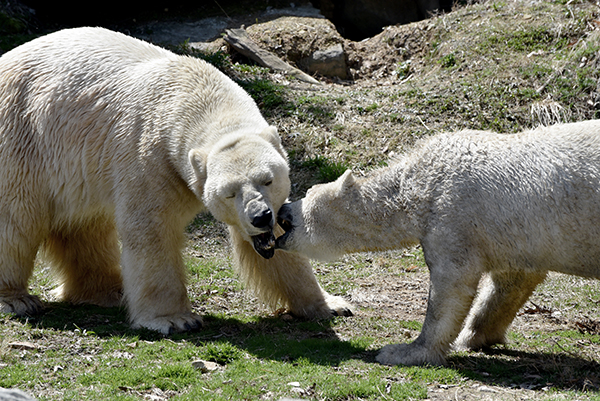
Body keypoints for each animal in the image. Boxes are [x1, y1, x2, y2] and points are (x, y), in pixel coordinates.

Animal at [0, 26, 352, 334]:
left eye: (268, 180)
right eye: (229, 193)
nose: (260, 216)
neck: (194, 93)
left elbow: (281, 246)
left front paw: (331, 304)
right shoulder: (150, 158)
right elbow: (151, 230)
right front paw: (174, 319)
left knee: (84, 226)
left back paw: (107, 290)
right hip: (22, 139)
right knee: (16, 219)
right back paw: (17, 300)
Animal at [276, 119, 600, 366]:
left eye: (308, 193)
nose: (282, 211)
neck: (418, 183)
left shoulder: (453, 213)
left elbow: (451, 284)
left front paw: (404, 351)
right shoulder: (513, 235)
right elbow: (513, 281)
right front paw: (475, 335)